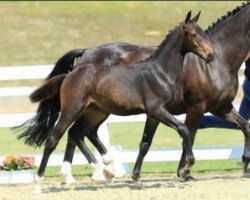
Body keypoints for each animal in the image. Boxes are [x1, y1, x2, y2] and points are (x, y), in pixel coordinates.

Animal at [17, 11, 214, 193]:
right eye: (193, 35)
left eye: (203, 33)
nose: (210, 55)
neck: (159, 72)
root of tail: (69, 75)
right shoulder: (157, 110)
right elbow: (184, 130)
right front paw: (188, 165)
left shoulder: (153, 115)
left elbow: (145, 143)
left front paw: (137, 179)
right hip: (71, 110)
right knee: (54, 139)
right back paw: (40, 183)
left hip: (96, 112)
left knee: (77, 133)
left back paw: (101, 172)